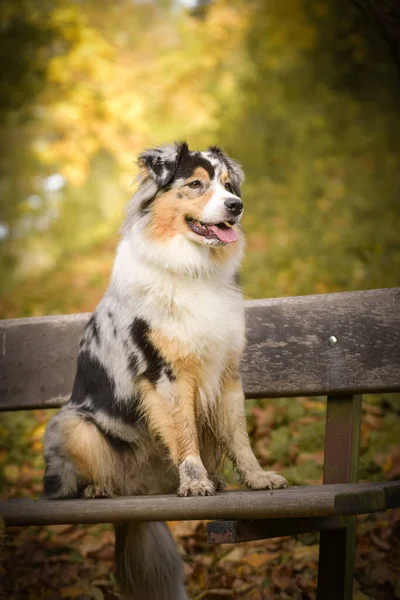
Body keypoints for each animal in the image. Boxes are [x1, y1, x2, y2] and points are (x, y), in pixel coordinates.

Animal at [43, 142, 288, 600]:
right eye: (195, 185)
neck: (192, 268)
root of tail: (139, 496)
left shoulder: (227, 371)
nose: (237, 206)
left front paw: (257, 477)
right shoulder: (166, 373)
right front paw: (194, 483)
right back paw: (99, 488)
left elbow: (239, 436)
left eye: (228, 185)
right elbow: (184, 430)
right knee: (72, 482)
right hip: (71, 425)